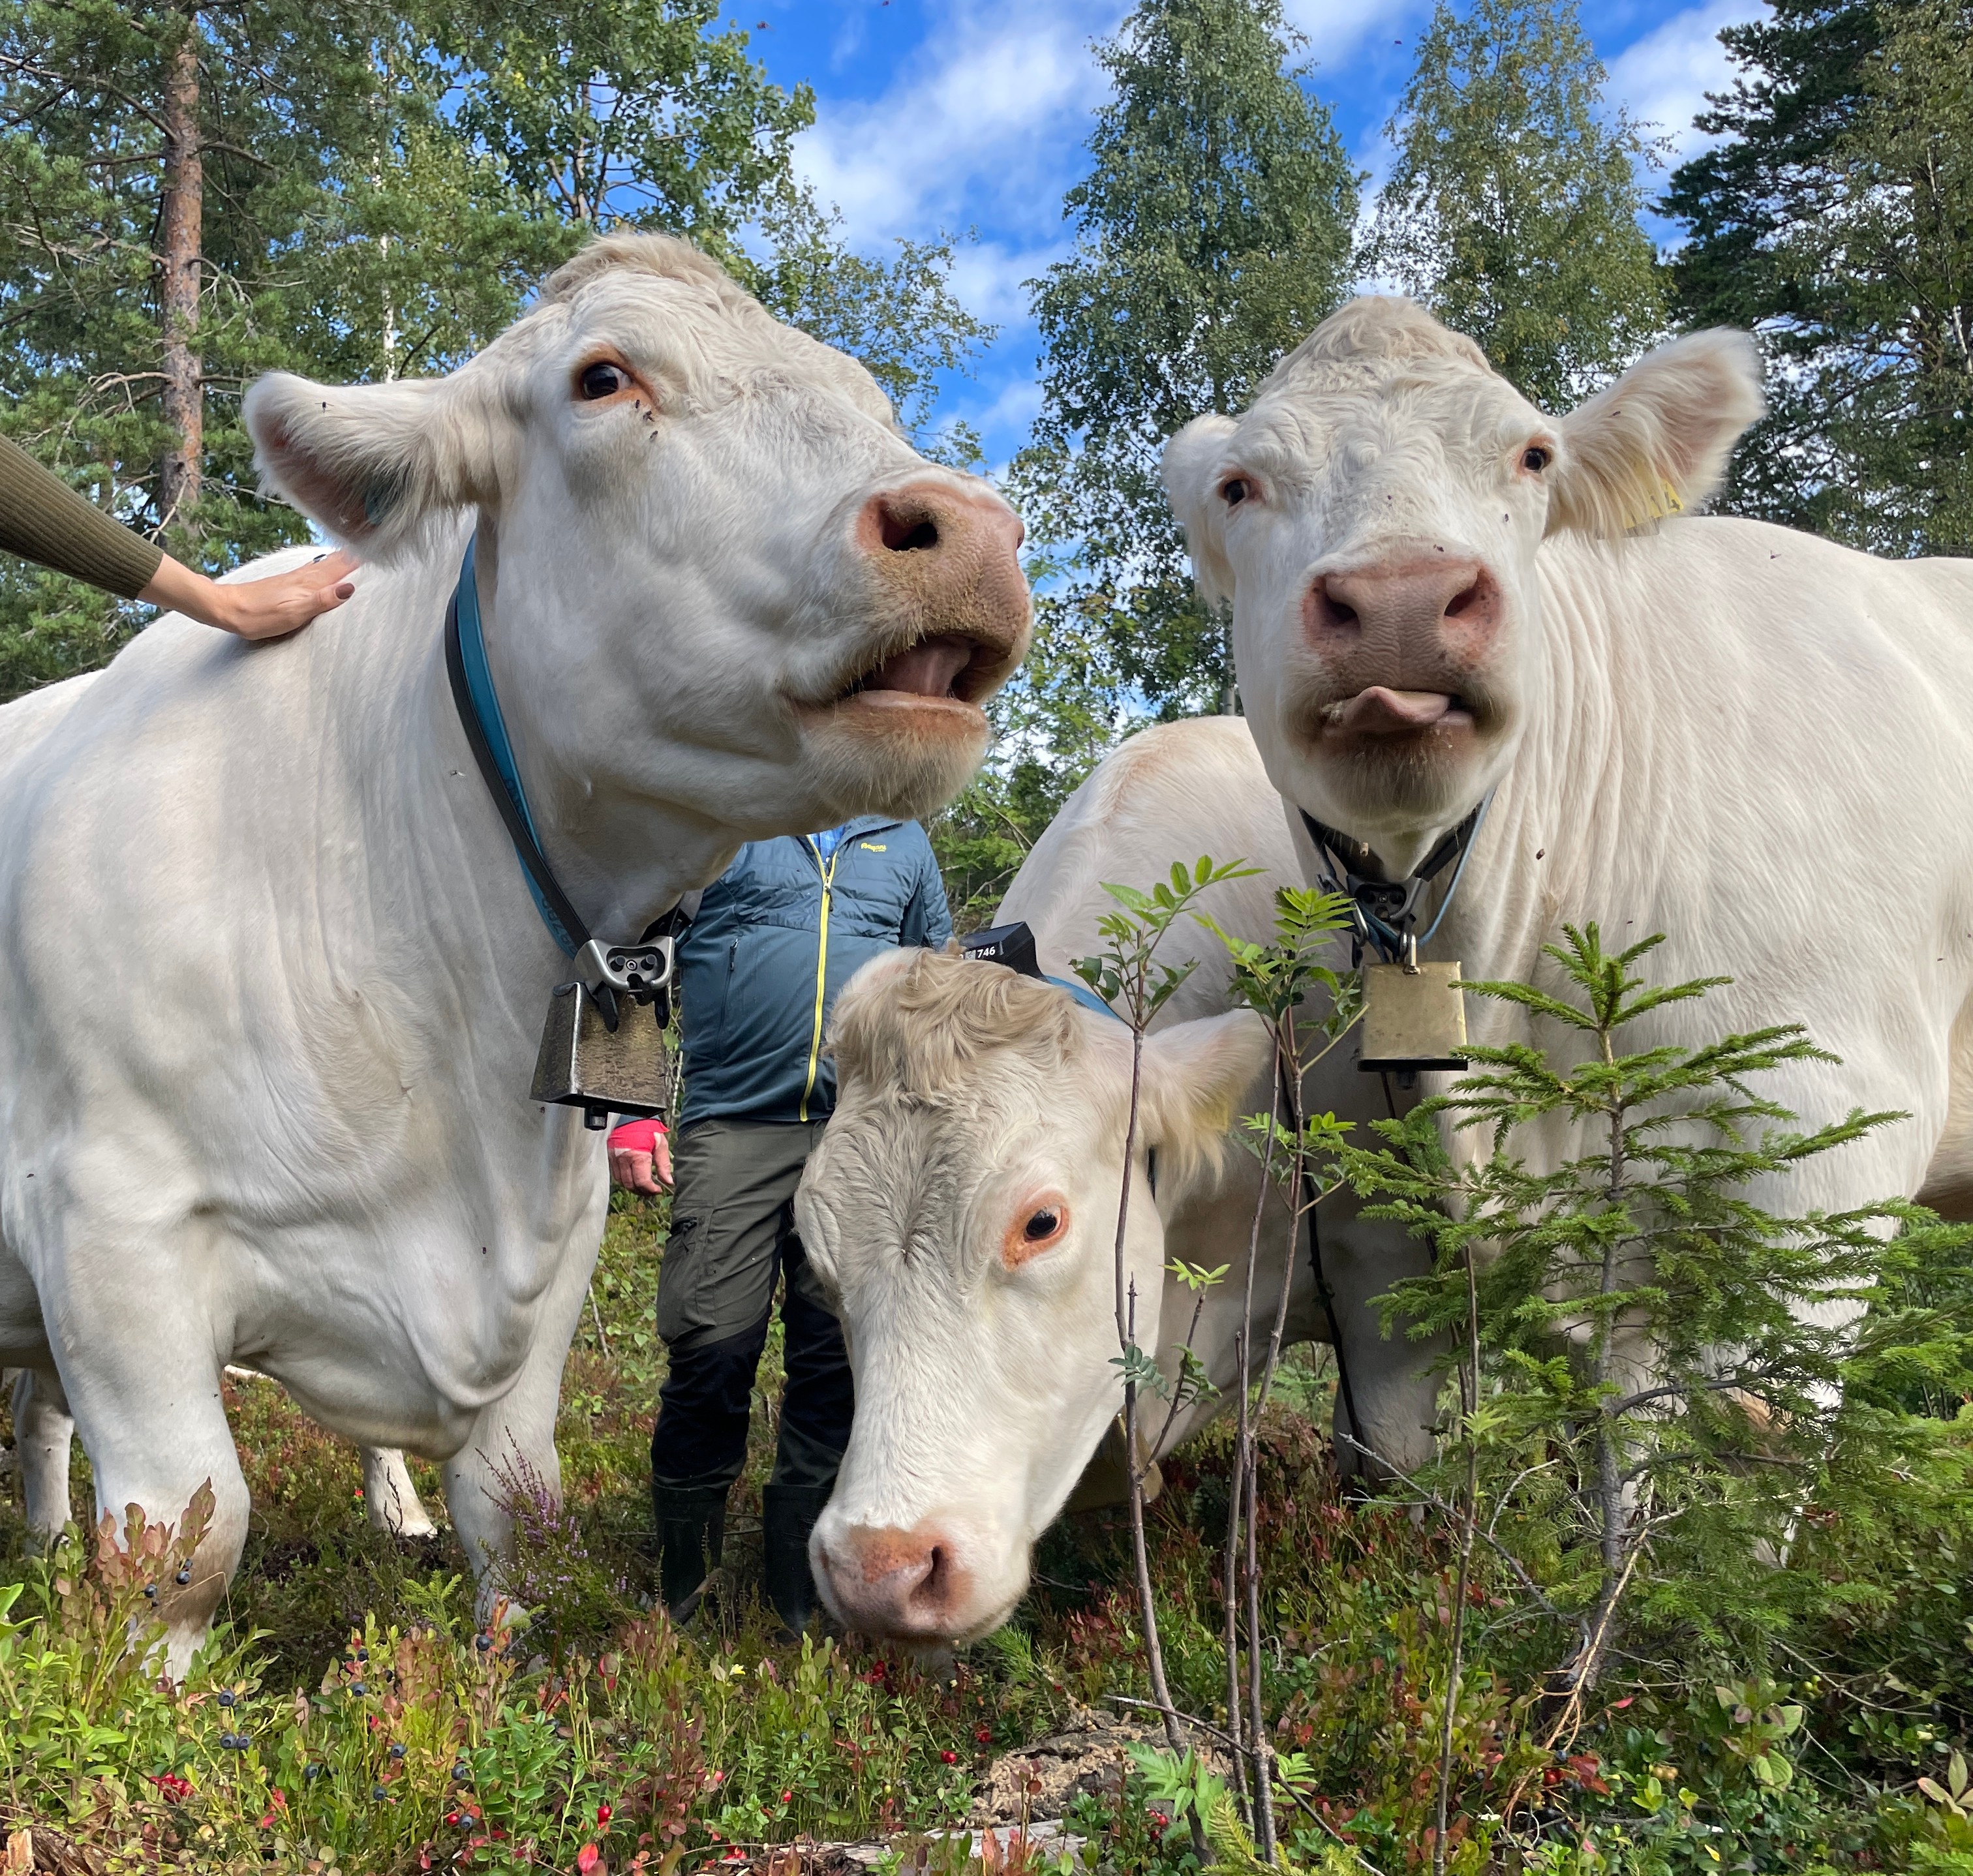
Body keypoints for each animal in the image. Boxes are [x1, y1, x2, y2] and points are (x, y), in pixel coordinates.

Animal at [0, 233, 1029, 1669]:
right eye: (603, 377)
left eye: (867, 400)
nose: (974, 533)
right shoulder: (109, 1224)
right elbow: (182, 1541)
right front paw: (148, 1691)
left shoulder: (554, 1236)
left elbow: (517, 1502)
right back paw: (45, 1546)